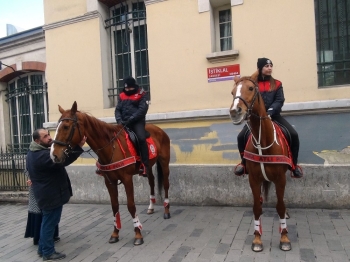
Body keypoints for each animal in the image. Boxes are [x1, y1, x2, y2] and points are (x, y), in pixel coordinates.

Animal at [50, 101, 170, 246]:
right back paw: (151, 207)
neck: (111, 147)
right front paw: (115, 233)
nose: (54, 155)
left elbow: (131, 206)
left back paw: (167, 211)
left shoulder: (127, 179)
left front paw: (138, 234)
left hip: (164, 162)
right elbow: (114, 206)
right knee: (151, 181)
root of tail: (160, 130)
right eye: (56, 126)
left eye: (66, 127)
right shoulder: (109, 181)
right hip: (149, 166)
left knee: (166, 184)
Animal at [230, 73, 292, 252]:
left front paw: (284, 237)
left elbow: (280, 206)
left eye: (251, 88)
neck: (263, 139)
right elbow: (256, 208)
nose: (234, 111)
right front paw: (257, 239)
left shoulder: (280, 179)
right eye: (232, 92)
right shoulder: (254, 179)